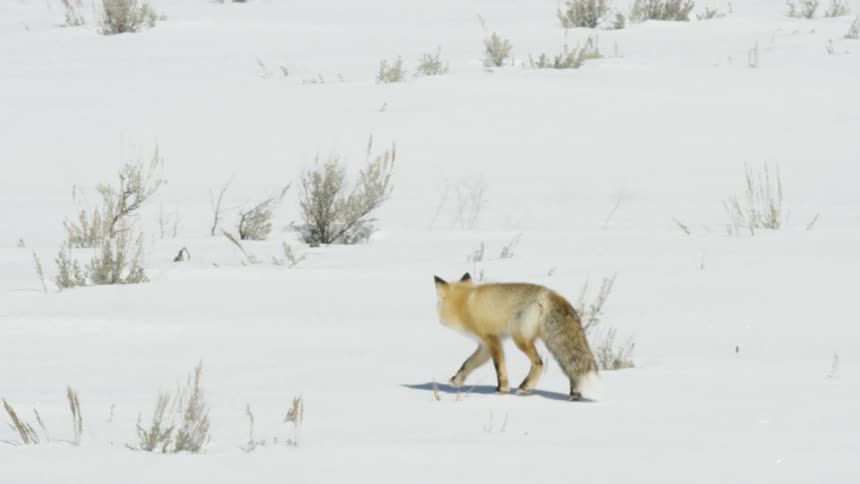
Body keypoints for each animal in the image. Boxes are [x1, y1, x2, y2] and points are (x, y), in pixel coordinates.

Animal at [433, 273, 598, 401]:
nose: (440, 322)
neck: (465, 303)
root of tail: (550, 293)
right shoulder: (484, 345)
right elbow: (468, 363)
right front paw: (456, 380)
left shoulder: (492, 339)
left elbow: (499, 367)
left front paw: (502, 389)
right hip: (551, 342)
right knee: (571, 367)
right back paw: (574, 394)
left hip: (520, 340)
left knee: (539, 362)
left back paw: (525, 387)